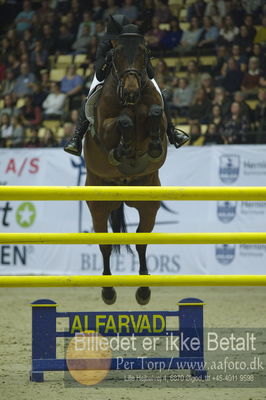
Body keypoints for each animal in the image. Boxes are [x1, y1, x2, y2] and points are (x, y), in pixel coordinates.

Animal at [83, 28, 166, 304]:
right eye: (115, 55)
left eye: (144, 53)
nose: (130, 91)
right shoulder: (104, 129)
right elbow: (122, 120)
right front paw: (123, 149)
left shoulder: (159, 119)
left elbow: (154, 113)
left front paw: (151, 146)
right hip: (99, 206)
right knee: (105, 244)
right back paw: (108, 291)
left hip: (149, 204)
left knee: (141, 240)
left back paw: (143, 290)